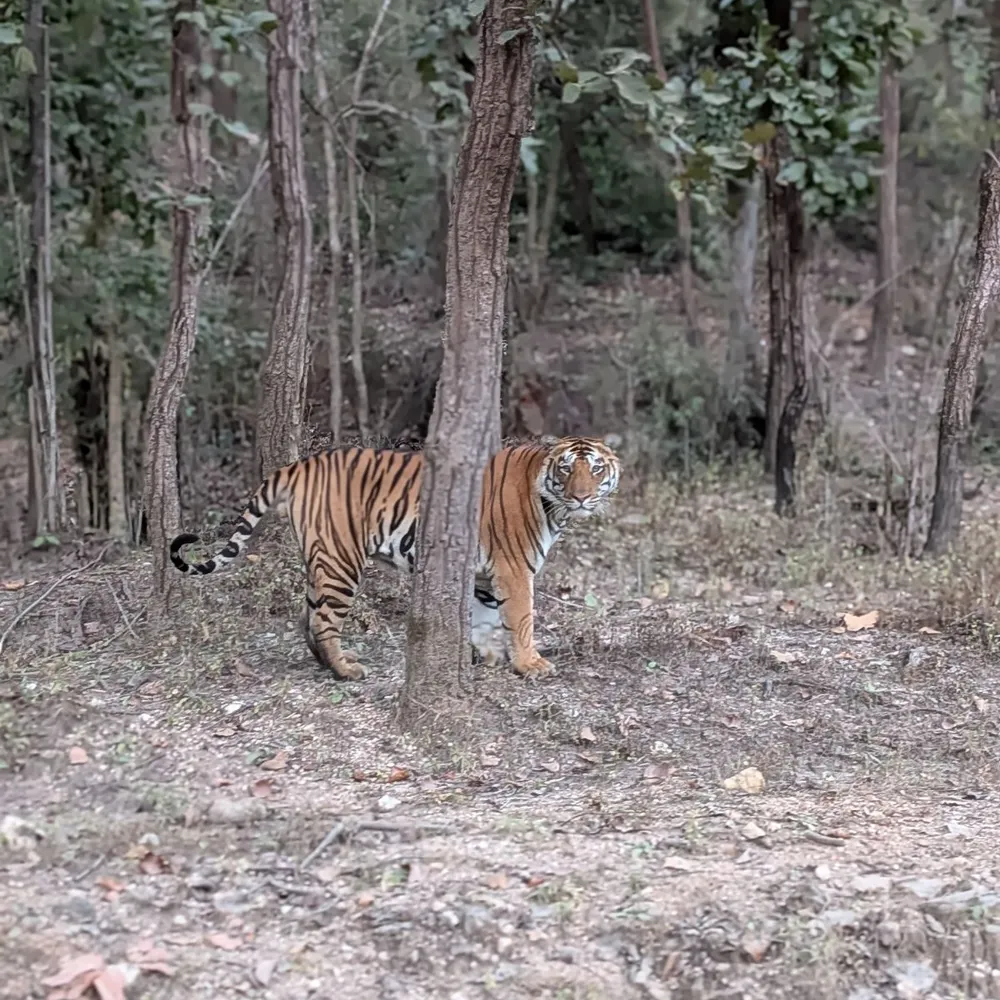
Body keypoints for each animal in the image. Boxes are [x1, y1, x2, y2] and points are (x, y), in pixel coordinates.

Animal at [169, 435, 621, 680]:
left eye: (596, 469)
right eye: (566, 470)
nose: (582, 496)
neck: (552, 504)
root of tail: (300, 465)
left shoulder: (483, 573)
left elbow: (485, 615)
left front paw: (485, 656)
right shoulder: (513, 568)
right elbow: (522, 618)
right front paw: (529, 664)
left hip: (320, 558)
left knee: (307, 616)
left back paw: (331, 663)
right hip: (342, 560)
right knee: (323, 619)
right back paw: (345, 671)